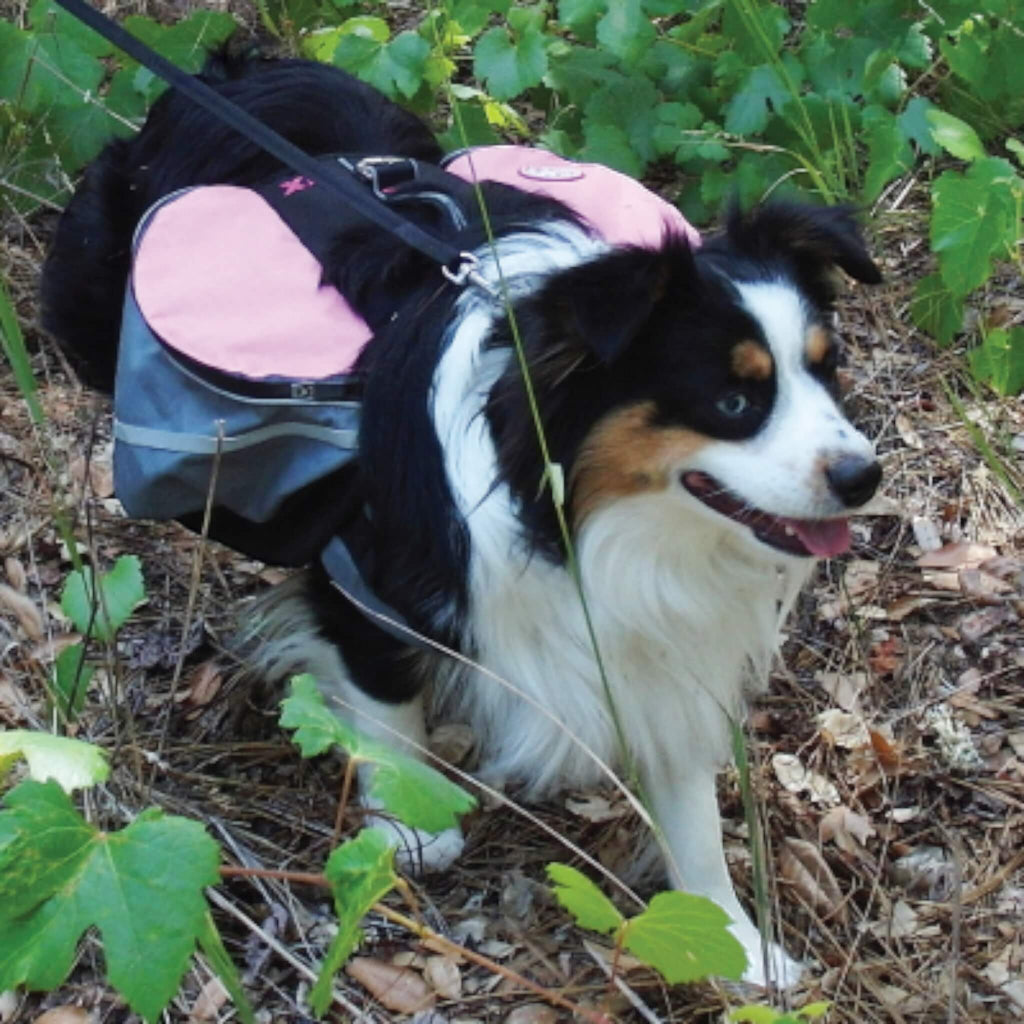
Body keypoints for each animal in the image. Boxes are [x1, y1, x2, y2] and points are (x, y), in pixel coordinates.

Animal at [44, 54, 884, 983]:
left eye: (828, 371)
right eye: (734, 401)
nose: (864, 475)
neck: (573, 515)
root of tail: (237, 72)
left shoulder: (660, 639)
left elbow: (689, 802)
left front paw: (731, 939)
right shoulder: (362, 571)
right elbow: (385, 706)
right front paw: (410, 830)